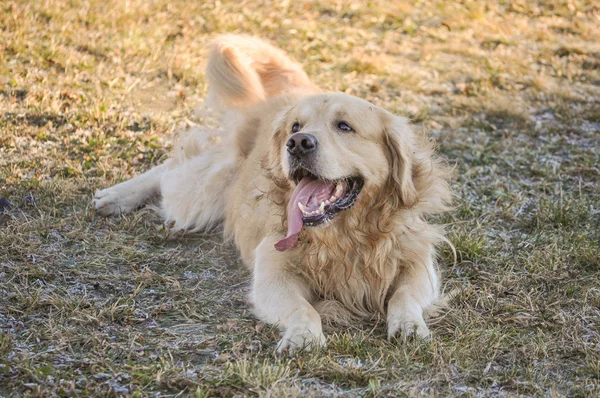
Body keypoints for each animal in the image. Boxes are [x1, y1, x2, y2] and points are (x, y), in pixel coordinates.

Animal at [92, 34, 450, 352]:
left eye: (344, 126)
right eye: (295, 127)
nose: (298, 143)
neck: (344, 239)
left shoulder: (418, 260)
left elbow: (404, 295)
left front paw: (409, 324)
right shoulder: (272, 270)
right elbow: (303, 308)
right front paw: (303, 335)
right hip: (205, 192)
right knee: (173, 169)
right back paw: (115, 196)